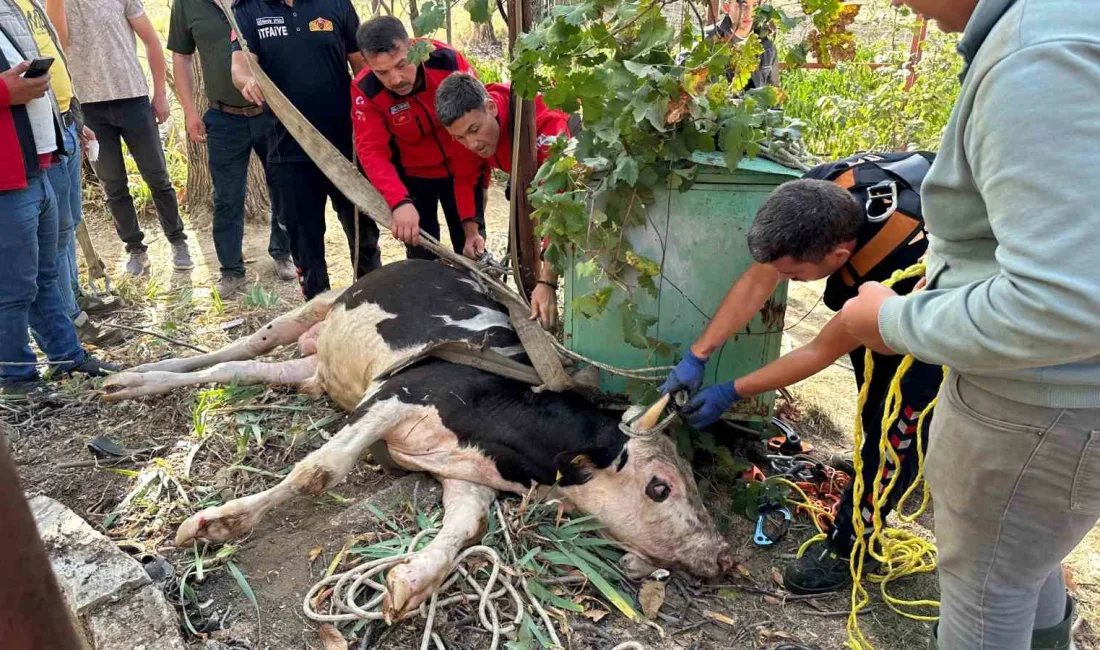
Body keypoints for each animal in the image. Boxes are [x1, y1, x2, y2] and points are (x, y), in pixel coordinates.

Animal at [105, 260, 739, 620]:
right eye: (659, 487)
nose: (725, 556)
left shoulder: (466, 472)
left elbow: (466, 526)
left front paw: (413, 578)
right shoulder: (399, 393)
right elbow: (319, 470)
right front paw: (220, 523)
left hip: (315, 369)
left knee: (252, 371)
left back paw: (142, 378)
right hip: (323, 302)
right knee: (246, 345)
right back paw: (141, 374)